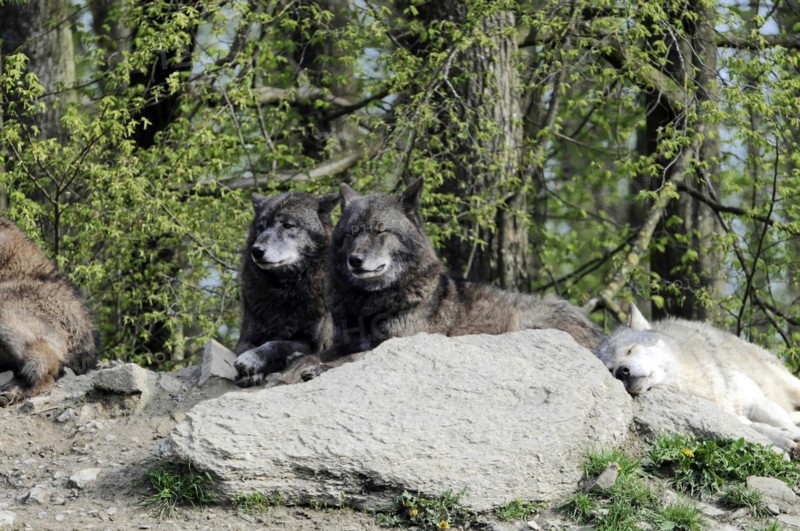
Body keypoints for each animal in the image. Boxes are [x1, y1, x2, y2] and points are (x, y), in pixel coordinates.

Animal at [233, 192, 337, 387]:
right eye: (260, 227)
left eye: (287, 225)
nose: (256, 250)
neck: (284, 291)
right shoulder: (246, 336)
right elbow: (245, 347)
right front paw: (249, 372)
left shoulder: (312, 343)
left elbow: (276, 344)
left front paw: (252, 359)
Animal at [321, 179, 602, 361]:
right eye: (351, 233)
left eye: (380, 230)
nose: (355, 260)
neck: (371, 305)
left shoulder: (396, 341)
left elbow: (344, 360)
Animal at [595, 304, 800, 450]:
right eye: (610, 370)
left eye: (630, 350)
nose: (622, 371)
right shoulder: (727, 415)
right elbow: (754, 427)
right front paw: (782, 438)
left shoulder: (756, 402)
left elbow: (781, 422)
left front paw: (789, 432)